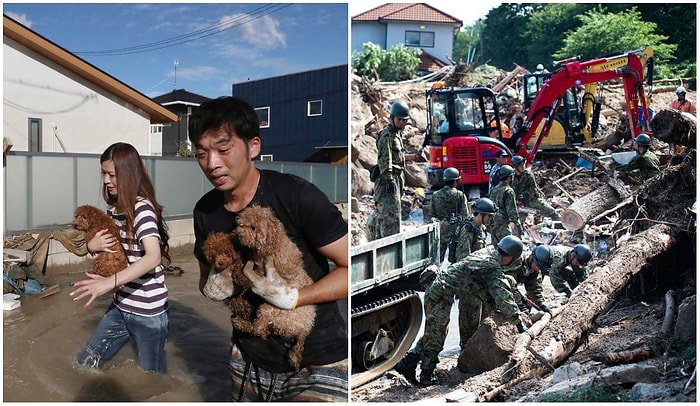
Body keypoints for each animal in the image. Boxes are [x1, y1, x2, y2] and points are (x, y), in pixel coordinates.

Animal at [234, 205, 316, 370]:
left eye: (253, 227)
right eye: (241, 224)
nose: (239, 235)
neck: (274, 241)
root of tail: (303, 331)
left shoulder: (261, 267)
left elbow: (248, 271)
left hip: (269, 309)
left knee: (258, 329)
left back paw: (241, 323)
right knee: (263, 331)